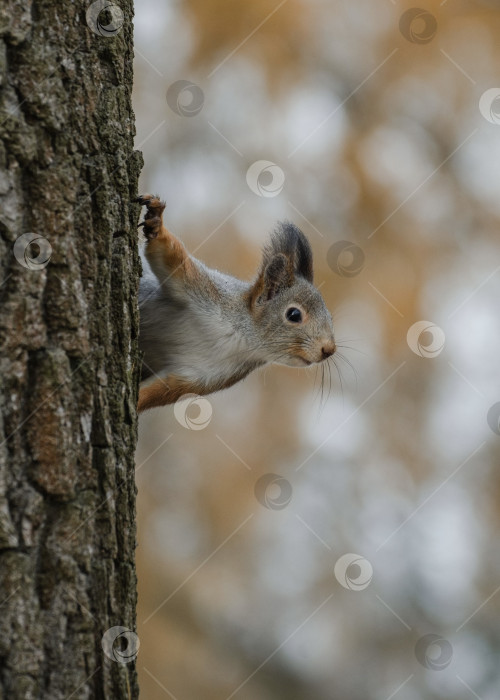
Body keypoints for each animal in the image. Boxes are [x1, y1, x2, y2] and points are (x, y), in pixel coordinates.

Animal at [136, 194, 336, 412]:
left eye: (330, 318)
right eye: (294, 315)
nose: (329, 350)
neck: (240, 339)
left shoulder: (202, 376)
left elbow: (160, 390)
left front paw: (137, 400)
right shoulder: (205, 289)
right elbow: (172, 257)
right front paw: (157, 222)